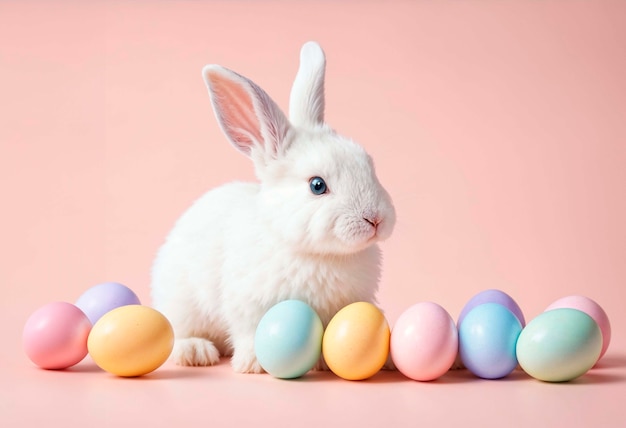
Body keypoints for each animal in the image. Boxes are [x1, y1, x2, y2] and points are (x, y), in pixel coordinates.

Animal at [150, 41, 394, 372]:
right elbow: (249, 331)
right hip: (181, 303)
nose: (376, 219)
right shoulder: (248, 305)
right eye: (317, 185)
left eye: (369, 165)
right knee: (176, 333)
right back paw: (196, 351)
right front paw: (253, 363)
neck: (319, 255)